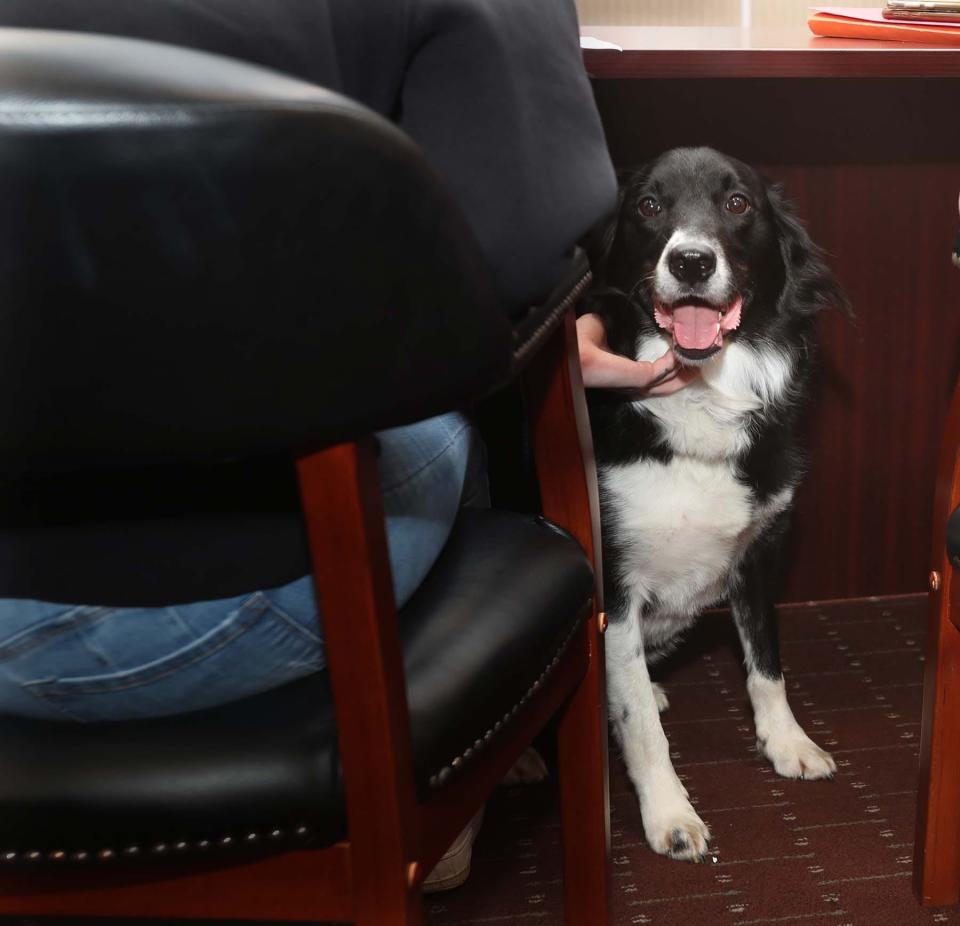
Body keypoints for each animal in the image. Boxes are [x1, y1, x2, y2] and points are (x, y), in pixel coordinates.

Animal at [588, 145, 852, 864]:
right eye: (647, 206)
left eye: (738, 204)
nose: (691, 262)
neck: (697, 394)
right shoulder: (615, 593)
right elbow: (641, 727)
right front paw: (669, 813)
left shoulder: (760, 555)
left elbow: (766, 663)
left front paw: (786, 743)